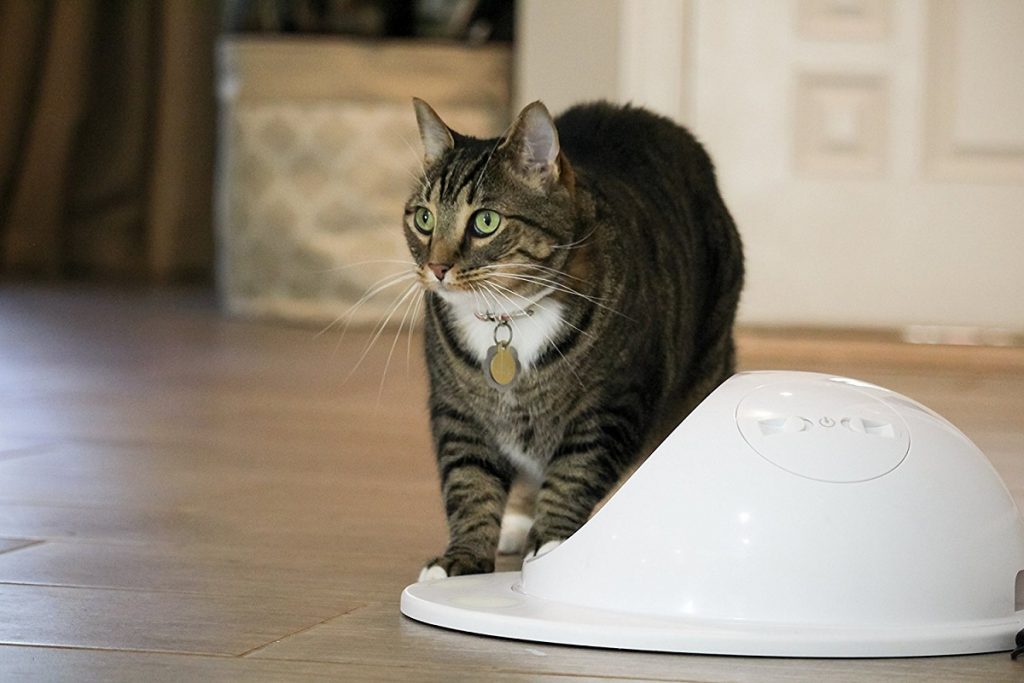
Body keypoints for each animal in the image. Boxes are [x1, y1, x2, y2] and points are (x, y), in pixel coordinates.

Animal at [401, 96, 745, 581]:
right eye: (424, 217)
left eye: (485, 221)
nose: (436, 267)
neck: (506, 318)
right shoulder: (458, 411)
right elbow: (469, 483)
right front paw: (461, 558)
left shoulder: (610, 402)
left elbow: (574, 472)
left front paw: (551, 544)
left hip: (706, 362)